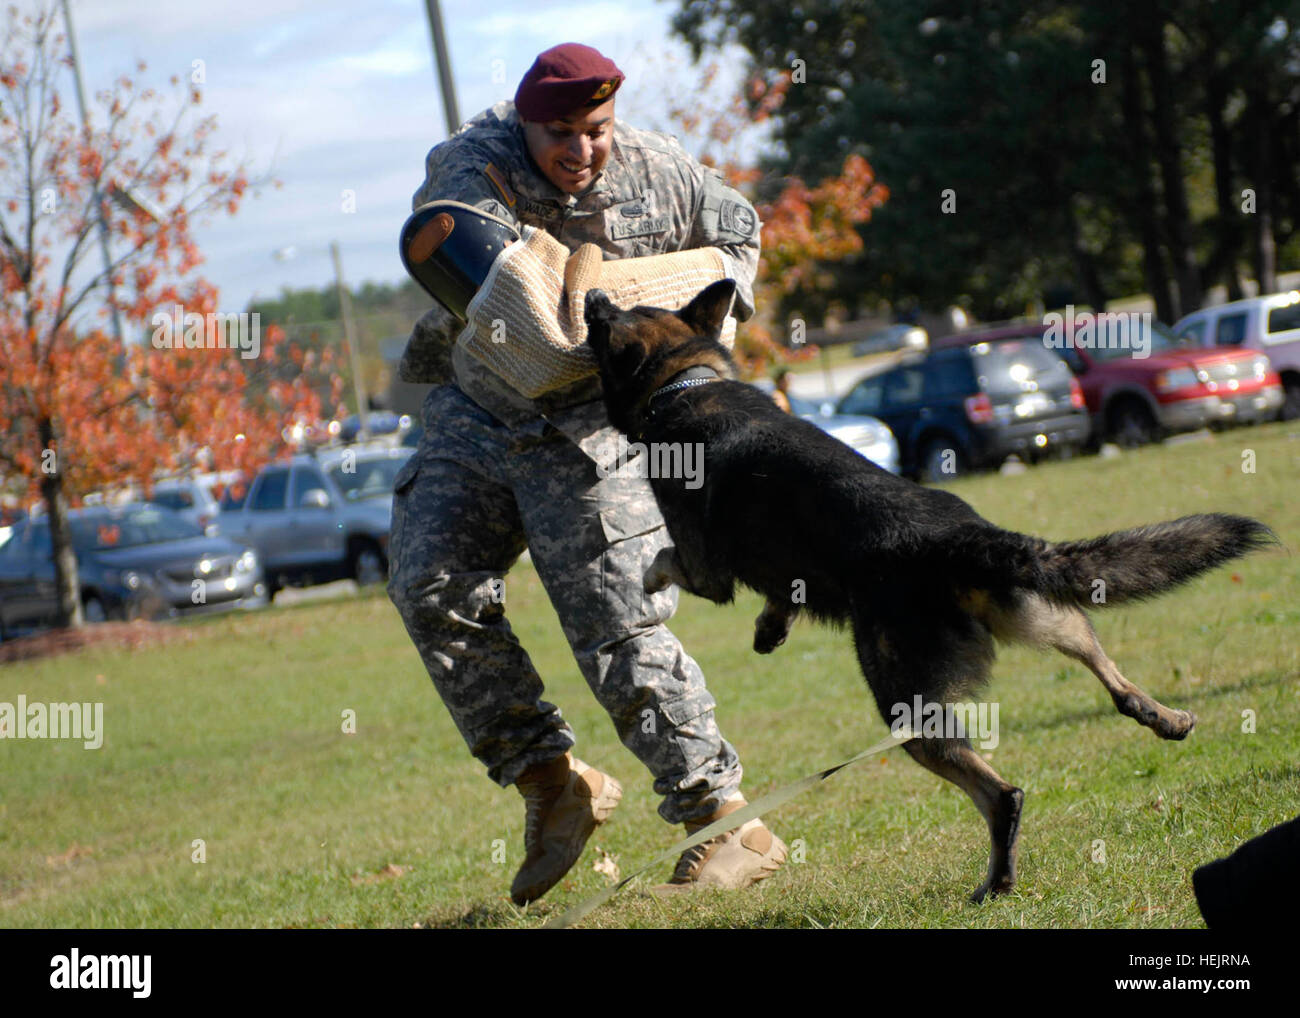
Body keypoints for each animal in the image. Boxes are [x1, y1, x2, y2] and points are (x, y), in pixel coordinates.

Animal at [585, 280, 1274, 910]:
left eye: (607, 319)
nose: (589, 295)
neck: (685, 383)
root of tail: (961, 538)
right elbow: (783, 592)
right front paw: (771, 627)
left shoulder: (707, 569)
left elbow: (663, 560)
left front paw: (651, 582)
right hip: (1044, 618)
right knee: (1108, 674)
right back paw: (1164, 717)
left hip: (907, 709)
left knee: (1003, 794)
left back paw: (995, 884)